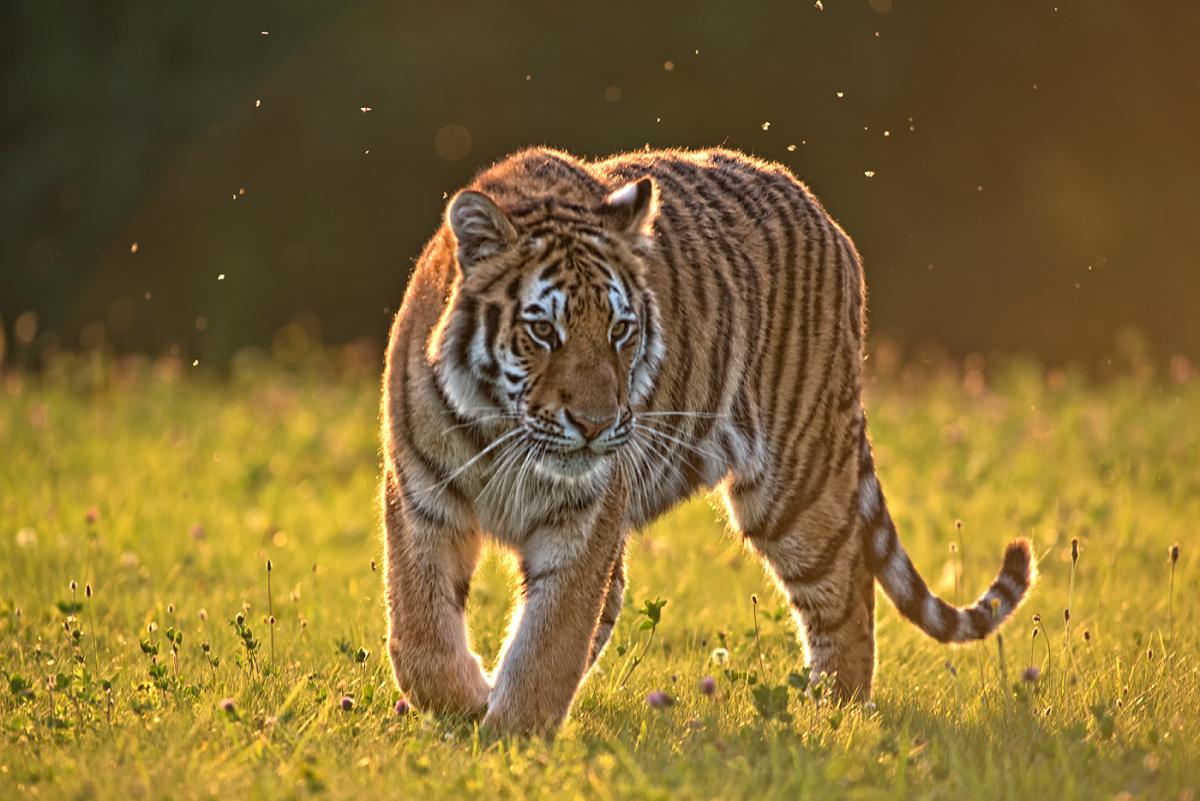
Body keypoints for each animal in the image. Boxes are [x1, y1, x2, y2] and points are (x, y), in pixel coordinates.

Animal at [380, 146, 1036, 735]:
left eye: (620, 330)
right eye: (542, 331)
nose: (595, 425)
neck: (503, 431)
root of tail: (823, 215)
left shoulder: (584, 516)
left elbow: (550, 638)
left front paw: (510, 733)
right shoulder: (420, 498)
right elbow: (419, 624)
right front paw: (463, 703)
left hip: (795, 487)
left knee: (847, 588)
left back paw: (836, 713)